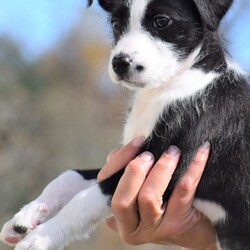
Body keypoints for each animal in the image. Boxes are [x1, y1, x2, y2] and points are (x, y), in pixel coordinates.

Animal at [0, 0, 250, 249]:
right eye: (115, 23)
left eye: (162, 21)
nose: (120, 63)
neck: (171, 86)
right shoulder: (131, 159)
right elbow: (70, 176)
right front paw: (27, 216)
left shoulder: (170, 161)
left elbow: (86, 198)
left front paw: (42, 237)